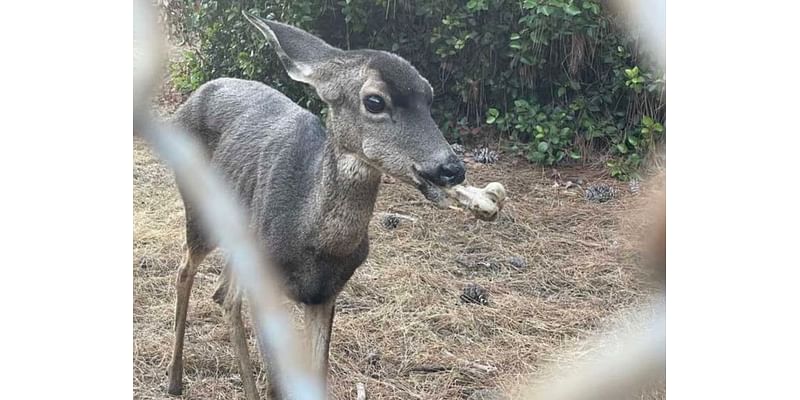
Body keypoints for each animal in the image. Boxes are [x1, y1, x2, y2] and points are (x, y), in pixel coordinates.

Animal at [163, 10, 506, 398]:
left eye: (429, 95)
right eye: (375, 101)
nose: (450, 168)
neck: (310, 237)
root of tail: (190, 100)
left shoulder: (327, 292)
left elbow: (318, 375)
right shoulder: (270, 285)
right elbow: (277, 385)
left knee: (224, 293)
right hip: (200, 209)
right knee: (186, 271)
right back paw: (174, 379)